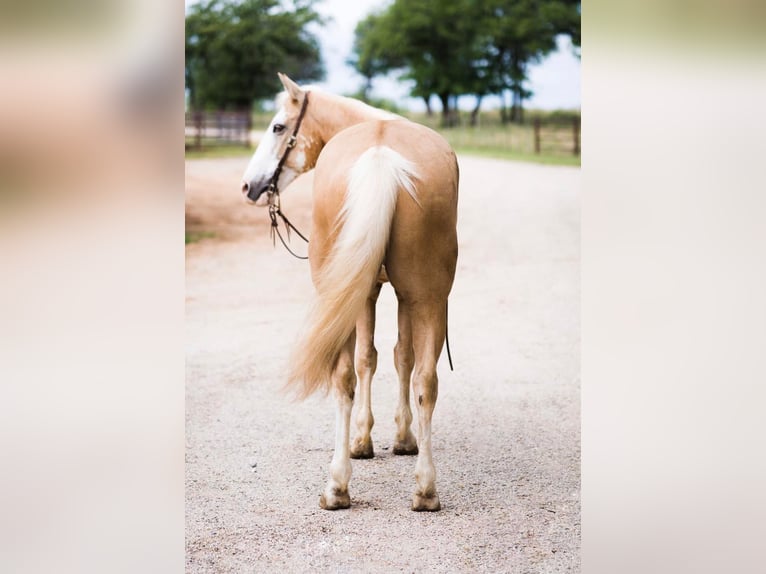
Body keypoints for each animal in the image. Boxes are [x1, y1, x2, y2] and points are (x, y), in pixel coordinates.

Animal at [242, 73, 456, 512]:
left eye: (277, 127)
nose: (249, 186)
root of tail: (381, 157)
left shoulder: (369, 292)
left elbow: (369, 360)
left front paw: (369, 439)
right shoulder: (396, 295)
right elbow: (400, 358)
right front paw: (401, 438)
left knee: (344, 378)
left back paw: (338, 485)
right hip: (427, 298)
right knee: (425, 381)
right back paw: (425, 490)